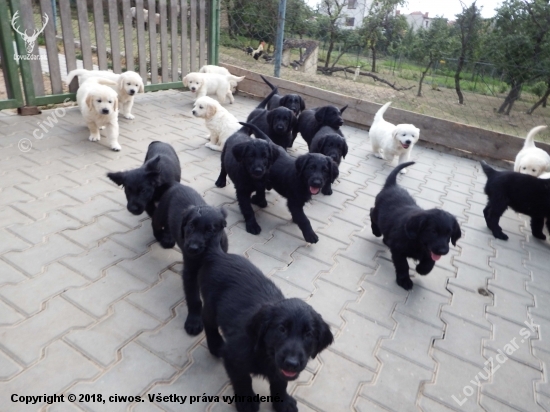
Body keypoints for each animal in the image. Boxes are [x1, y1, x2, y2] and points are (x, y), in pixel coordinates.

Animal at [151, 185, 229, 336]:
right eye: (191, 226)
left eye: (209, 230)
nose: (192, 248)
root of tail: (177, 185)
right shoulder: (190, 272)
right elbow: (194, 299)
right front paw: (194, 322)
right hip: (161, 213)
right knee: (155, 222)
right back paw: (160, 237)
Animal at [198, 216, 336, 412]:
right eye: (281, 329)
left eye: (309, 334)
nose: (292, 363)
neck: (265, 353)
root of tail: (219, 255)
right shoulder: (232, 356)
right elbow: (243, 380)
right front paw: (247, 403)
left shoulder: (279, 370)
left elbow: (280, 382)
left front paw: (282, 402)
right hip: (211, 305)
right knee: (207, 320)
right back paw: (215, 344)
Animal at [374, 161, 464, 290]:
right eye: (433, 231)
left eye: (449, 234)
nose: (443, 251)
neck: (418, 243)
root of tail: (392, 186)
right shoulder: (398, 250)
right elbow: (403, 265)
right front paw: (404, 281)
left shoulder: (429, 251)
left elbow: (430, 261)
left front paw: (422, 269)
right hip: (377, 212)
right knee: (372, 214)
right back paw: (376, 231)